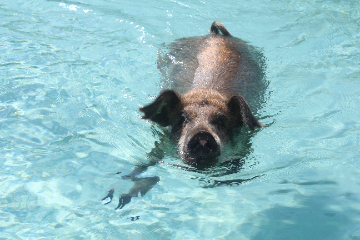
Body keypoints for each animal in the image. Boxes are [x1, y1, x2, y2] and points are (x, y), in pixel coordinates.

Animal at [102, 21, 266, 209]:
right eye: (182, 119)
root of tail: (214, 35)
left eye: (221, 121)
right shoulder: (162, 142)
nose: (202, 135)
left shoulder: (244, 145)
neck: (205, 92)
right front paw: (118, 194)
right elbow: (146, 162)